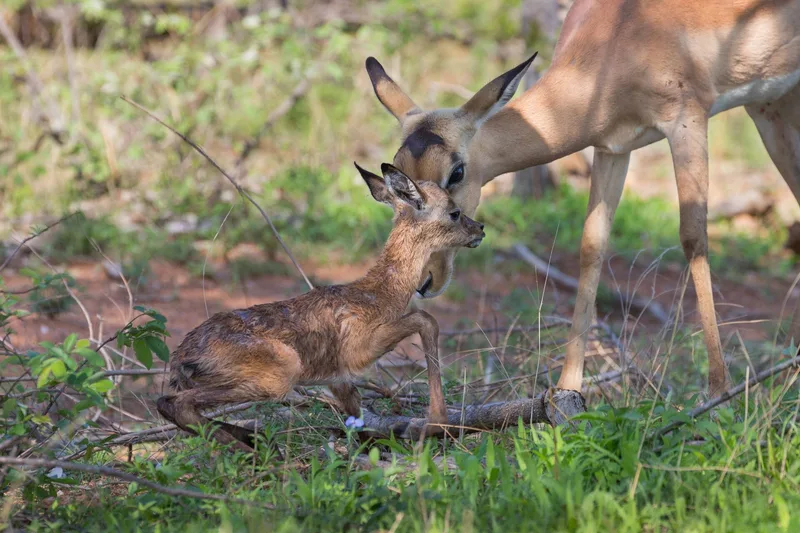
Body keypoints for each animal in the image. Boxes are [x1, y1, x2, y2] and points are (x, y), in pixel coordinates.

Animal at [157, 163, 486, 450]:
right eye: (455, 212)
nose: (480, 229)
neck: (381, 295)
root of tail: (180, 360)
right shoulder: (358, 350)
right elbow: (426, 318)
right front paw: (436, 425)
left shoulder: (339, 379)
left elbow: (360, 421)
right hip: (282, 371)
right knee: (177, 404)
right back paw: (254, 450)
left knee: (167, 403)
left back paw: (257, 440)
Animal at [366, 0, 800, 399]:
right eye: (396, 184)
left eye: (456, 172)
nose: (425, 280)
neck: (622, 31)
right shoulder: (612, 147)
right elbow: (592, 247)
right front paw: (567, 388)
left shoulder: (687, 122)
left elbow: (693, 237)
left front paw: (718, 390)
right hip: (772, 107)